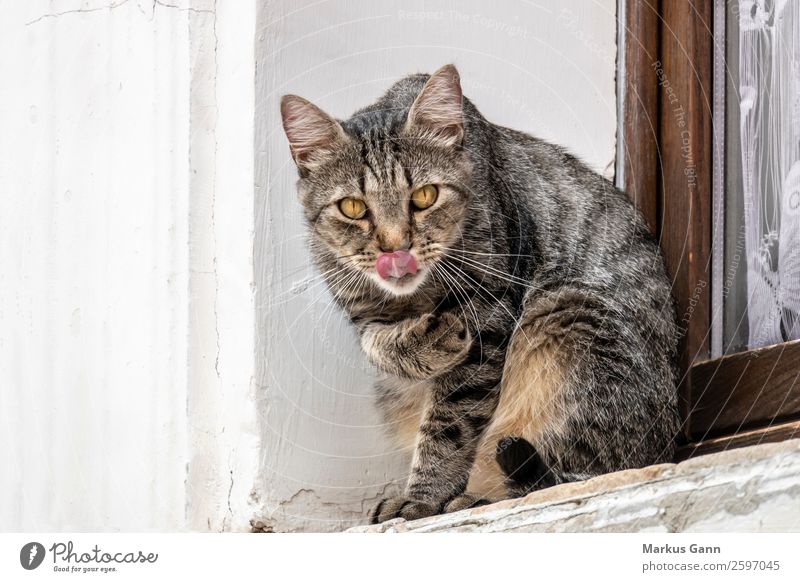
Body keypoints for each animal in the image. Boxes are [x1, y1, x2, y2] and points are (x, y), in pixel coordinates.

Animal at [278, 66, 680, 528]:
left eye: (424, 196)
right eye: (352, 207)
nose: (394, 247)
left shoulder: (490, 317)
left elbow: (449, 424)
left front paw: (423, 498)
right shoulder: (364, 313)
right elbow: (378, 344)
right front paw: (432, 340)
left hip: (572, 322)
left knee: (575, 474)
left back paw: (478, 498)